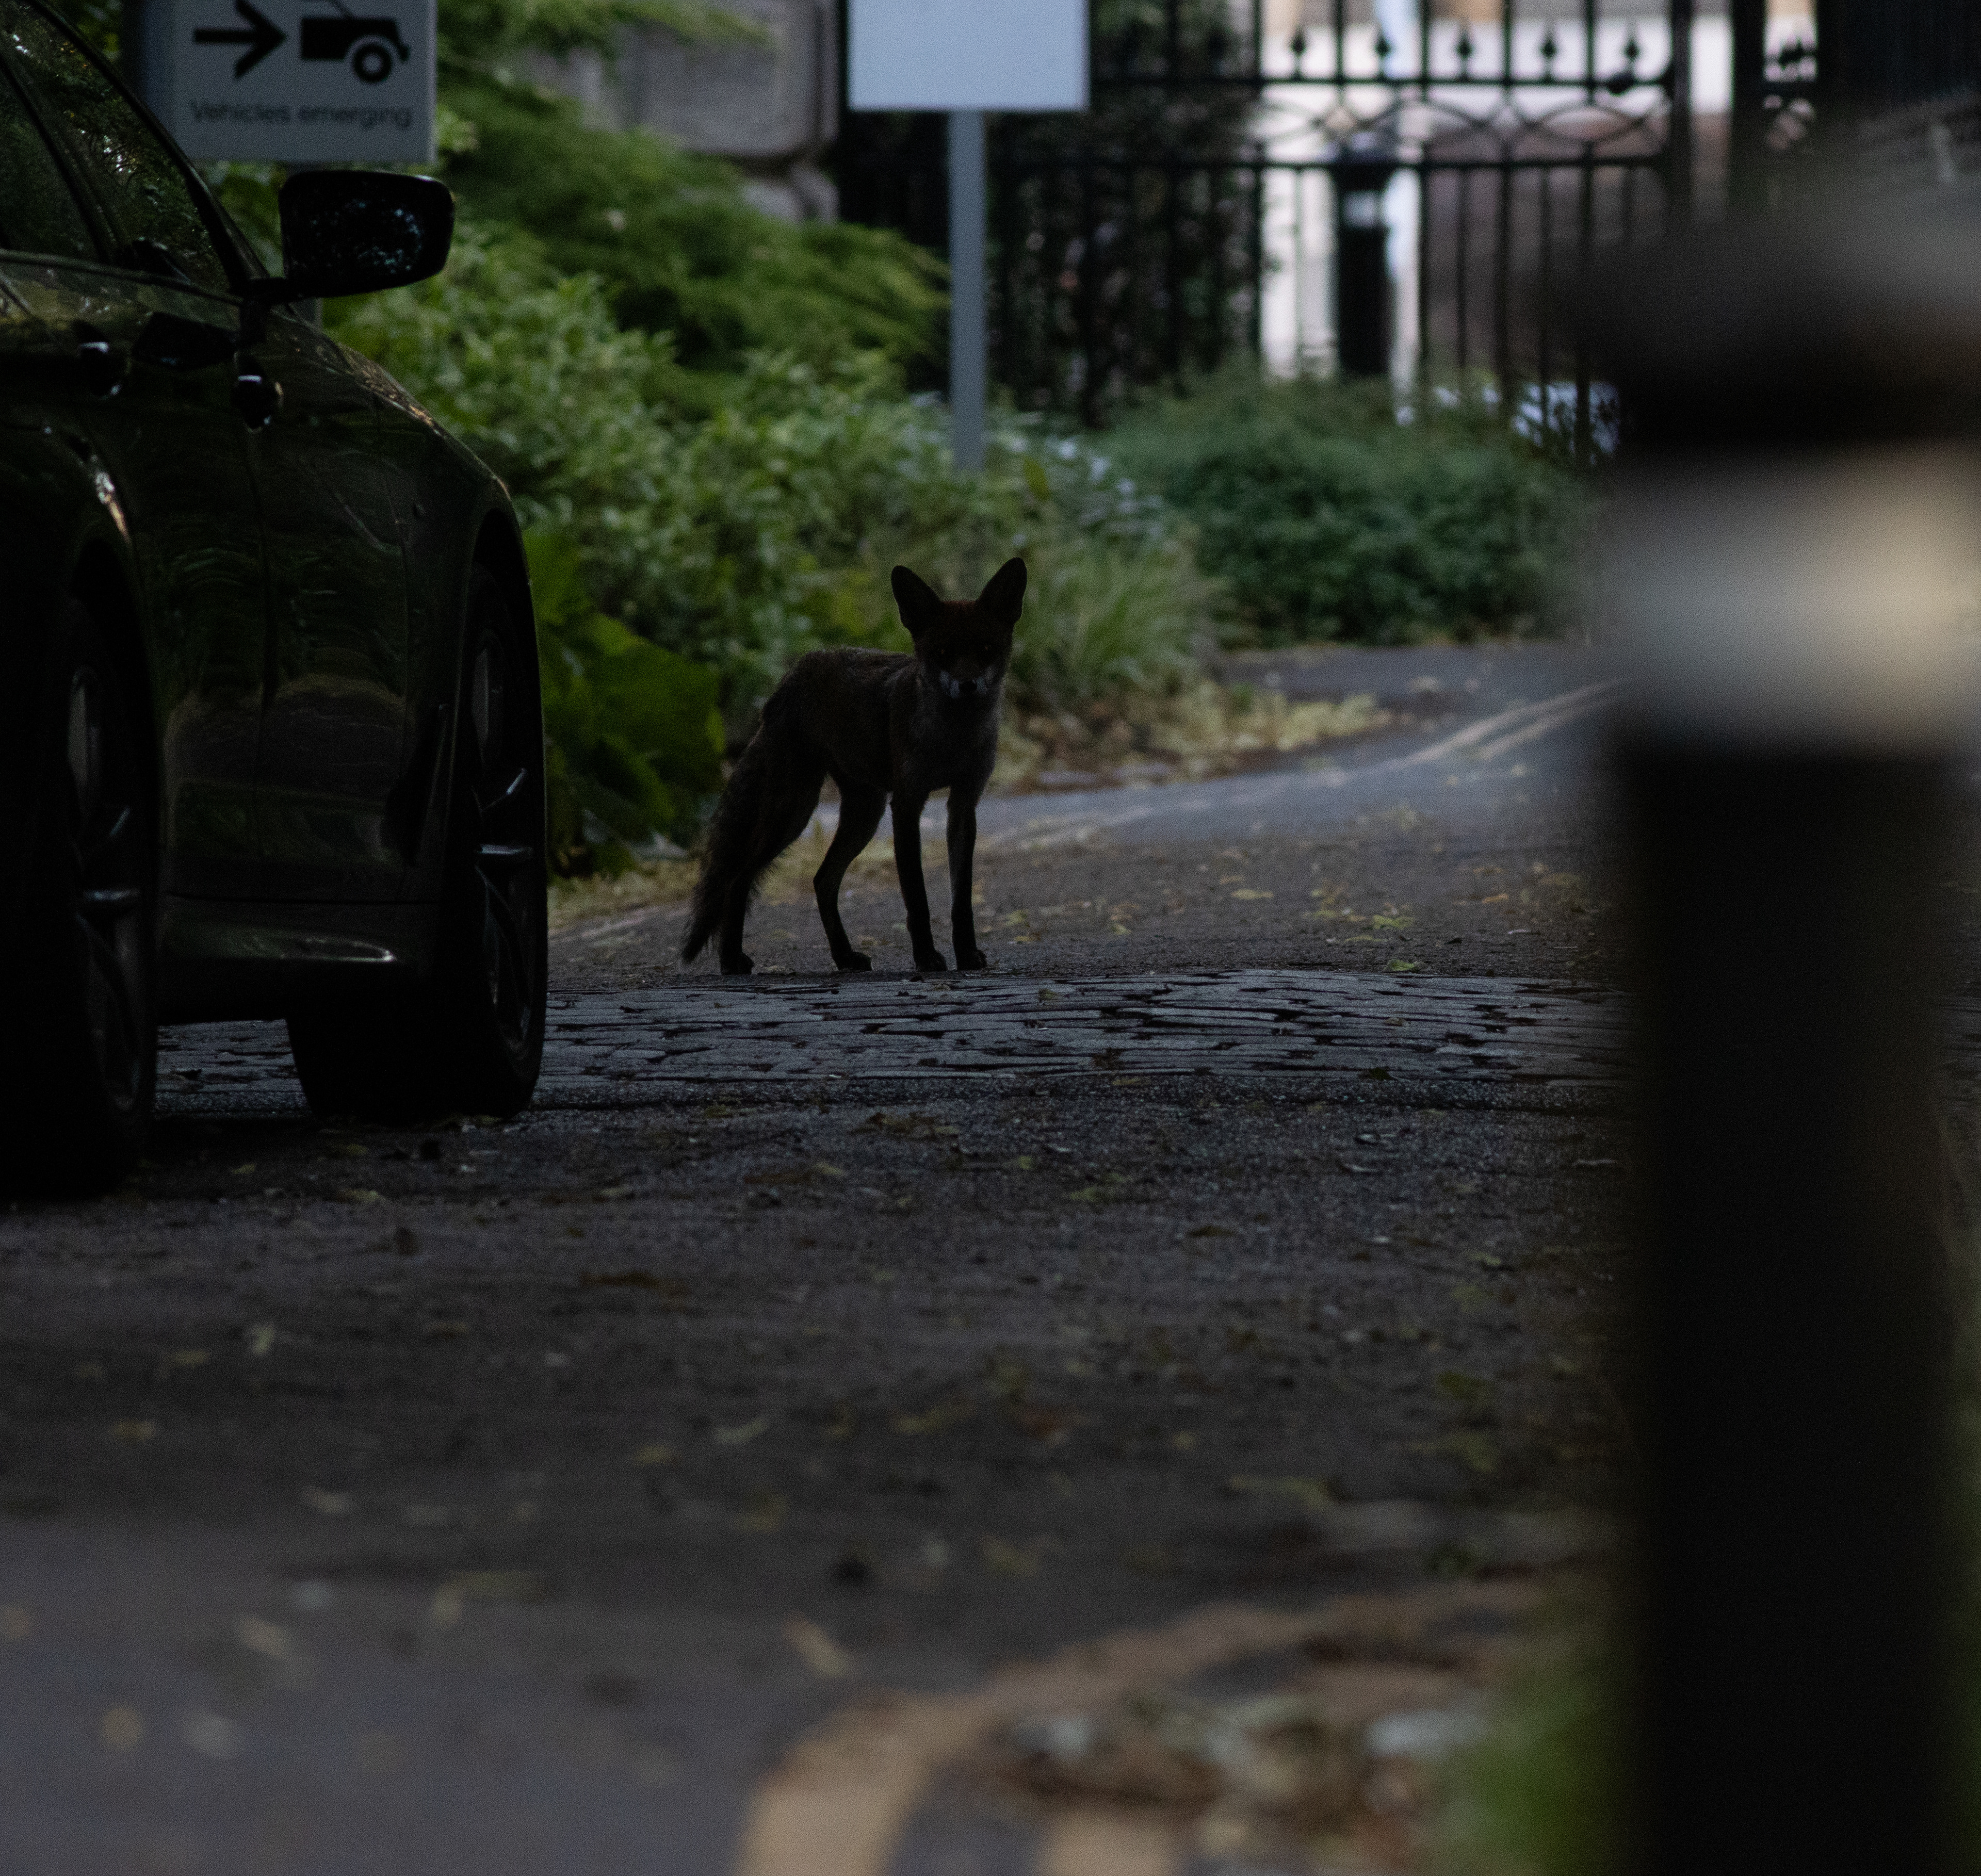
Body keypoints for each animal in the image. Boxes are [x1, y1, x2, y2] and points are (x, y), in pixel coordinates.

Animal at [681, 558, 1027, 977]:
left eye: (986, 649)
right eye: (944, 652)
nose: (968, 685)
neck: (952, 741)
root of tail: (795, 672)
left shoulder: (963, 805)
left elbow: (962, 902)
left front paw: (967, 956)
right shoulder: (907, 804)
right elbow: (917, 899)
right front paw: (927, 959)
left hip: (864, 814)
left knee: (822, 880)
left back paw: (844, 957)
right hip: (793, 813)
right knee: (739, 877)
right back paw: (731, 960)